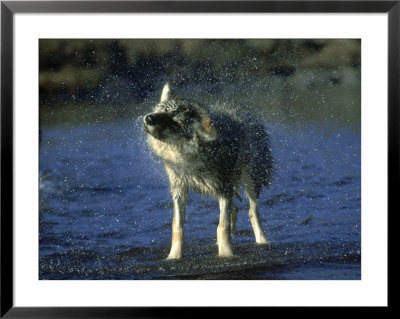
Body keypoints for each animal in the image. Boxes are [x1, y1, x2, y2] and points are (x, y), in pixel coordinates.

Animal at [142, 83, 274, 260]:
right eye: (165, 110)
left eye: (176, 123)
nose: (149, 118)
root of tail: (246, 110)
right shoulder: (179, 188)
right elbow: (177, 227)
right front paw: (173, 257)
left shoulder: (224, 187)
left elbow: (222, 226)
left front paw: (226, 254)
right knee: (235, 210)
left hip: (250, 180)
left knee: (252, 212)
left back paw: (262, 242)